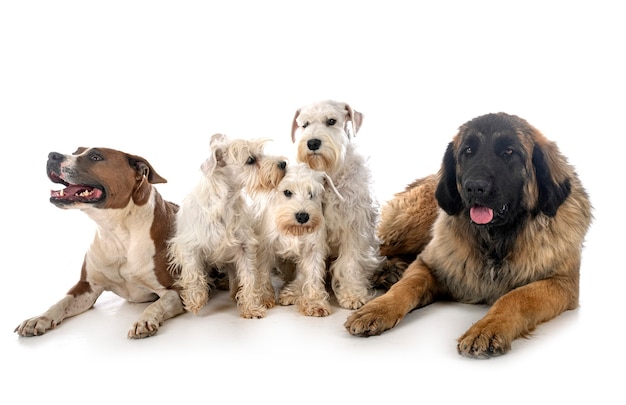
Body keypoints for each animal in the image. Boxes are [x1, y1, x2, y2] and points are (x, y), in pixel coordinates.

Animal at [14, 148, 183, 338]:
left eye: (96, 157)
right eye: (75, 151)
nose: (52, 155)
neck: (115, 233)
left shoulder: (178, 290)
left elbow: (157, 304)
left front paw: (144, 320)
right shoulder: (86, 287)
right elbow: (61, 302)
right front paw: (39, 318)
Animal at [165, 134, 284, 318]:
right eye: (250, 160)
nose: (283, 164)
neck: (225, 202)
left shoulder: (244, 246)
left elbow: (249, 276)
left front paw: (251, 307)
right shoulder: (190, 246)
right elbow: (194, 275)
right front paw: (195, 301)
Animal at [252, 163, 342, 318]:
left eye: (312, 193)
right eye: (287, 192)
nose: (302, 216)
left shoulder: (313, 249)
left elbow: (313, 276)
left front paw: (315, 303)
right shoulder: (265, 248)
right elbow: (263, 272)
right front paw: (263, 297)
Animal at [288, 99, 380, 308]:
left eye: (331, 121)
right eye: (305, 124)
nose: (313, 142)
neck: (329, 176)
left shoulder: (355, 226)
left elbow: (350, 262)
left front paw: (352, 294)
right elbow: (309, 266)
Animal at [344, 113, 592, 356]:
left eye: (509, 151)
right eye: (468, 151)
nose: (474, 187)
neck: (494, 240)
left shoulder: (562, 283)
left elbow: (517, 297)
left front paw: (487, 328)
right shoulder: (430, 264)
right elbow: (407, 285)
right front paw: (378, 308)